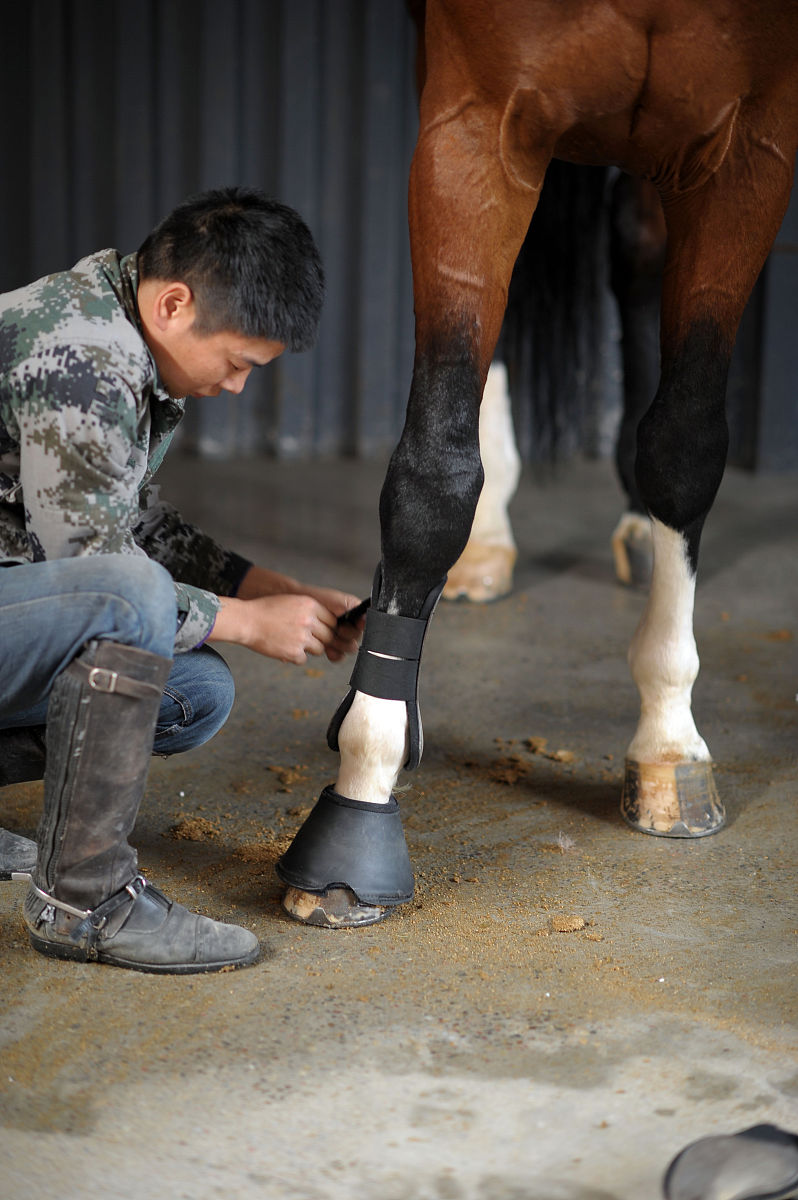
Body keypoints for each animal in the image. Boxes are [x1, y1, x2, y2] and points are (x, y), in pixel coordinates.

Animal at [276, 0, 796, 926]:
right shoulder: (480, 121)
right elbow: (434, 475)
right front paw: (358, 805)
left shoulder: (751, 147)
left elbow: (686, 443)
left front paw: (670, 742)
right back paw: (488, 548)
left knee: (637, 256)